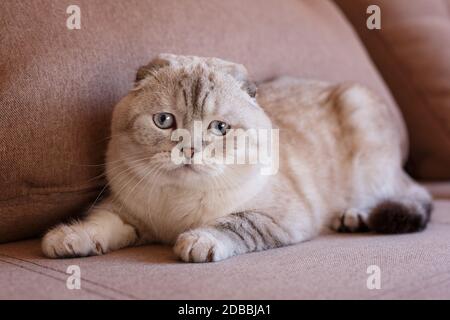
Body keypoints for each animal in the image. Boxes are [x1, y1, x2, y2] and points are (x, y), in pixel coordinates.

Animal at [42, 53, 432, 262]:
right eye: (164, 121)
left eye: (220, 128)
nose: (189, 149)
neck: (176, 208)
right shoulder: (128, 213)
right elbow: (99, 224)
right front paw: (67, 239)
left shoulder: (279, 217)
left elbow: (234, 224)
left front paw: (196, 242)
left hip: (366, 140)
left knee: (406, 197)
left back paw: (354, 217)